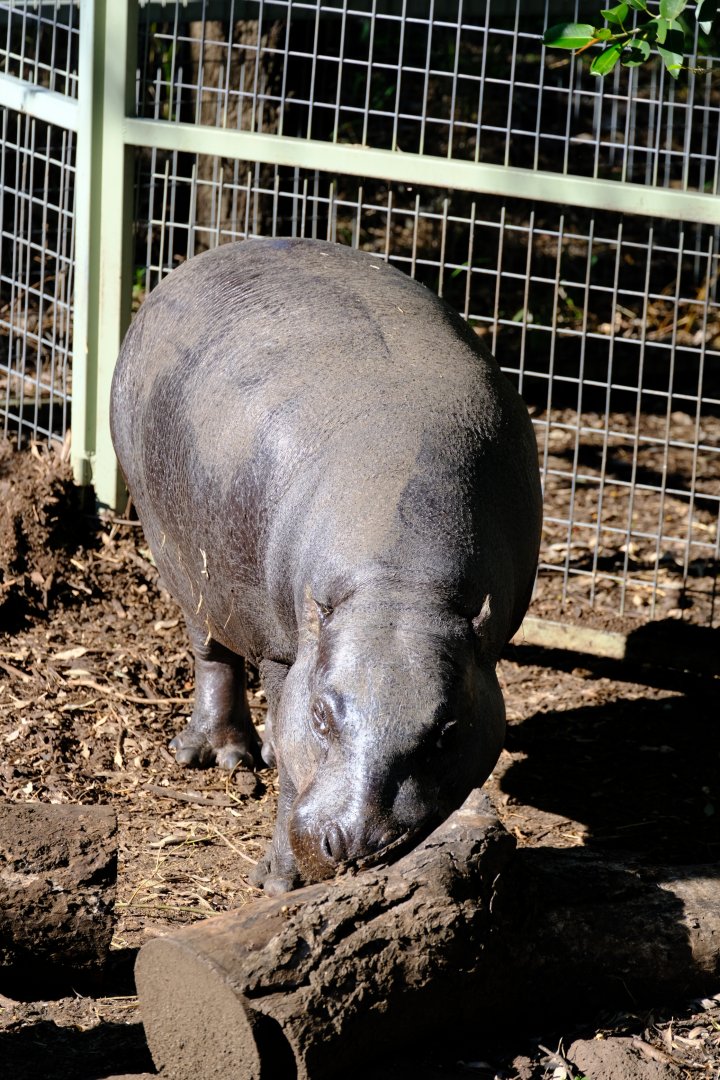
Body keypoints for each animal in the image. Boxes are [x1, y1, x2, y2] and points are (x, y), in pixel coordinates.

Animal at [110, 238, 542, 895]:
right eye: (319, 715)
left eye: (447, 732)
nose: (356, 848)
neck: (398, 584)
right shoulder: (287, 656)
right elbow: (292, 769)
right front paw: (277, 882)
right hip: (180, 557)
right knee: (210, 650)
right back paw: (221, 755)